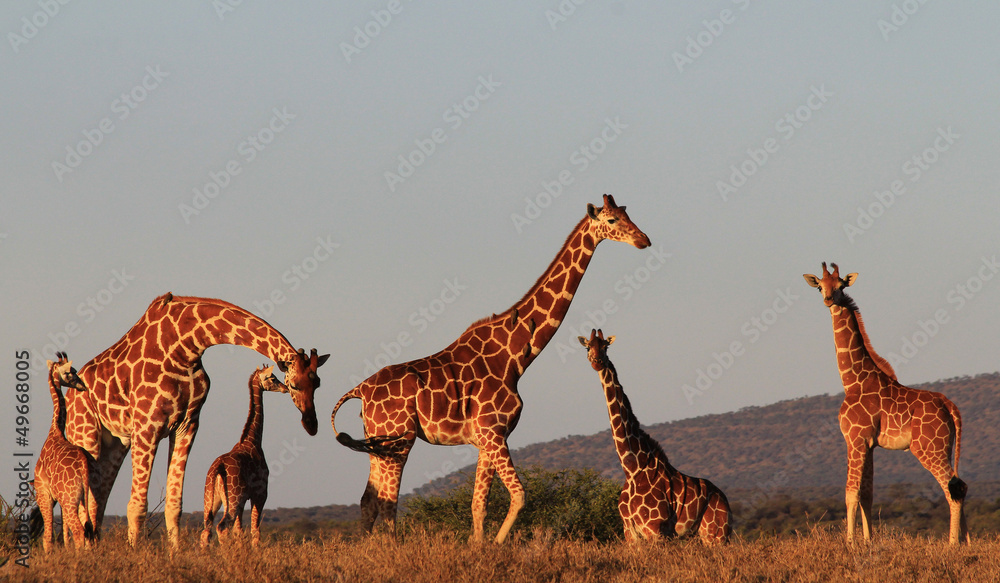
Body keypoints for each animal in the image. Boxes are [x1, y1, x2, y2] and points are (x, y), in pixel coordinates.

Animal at [35, 352, 98, 551]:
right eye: (71, 372)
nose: (83, 386)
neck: (55, 431)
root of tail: (84, 466)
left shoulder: (44, 493)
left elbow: (48, 536)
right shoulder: (59, 499)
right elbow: (64, 534)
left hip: (69, 499)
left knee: (79, 530)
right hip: (87, 496)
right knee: (90, 529)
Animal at [200, 366, 286, 548]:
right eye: (273, 378)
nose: (285, 388)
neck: (252, 440)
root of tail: (218, 467)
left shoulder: (243, 500)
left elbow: (239, 532)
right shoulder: (260, 493)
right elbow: (255, 531)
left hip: (212, 497)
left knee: (206, 530)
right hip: (233, 498)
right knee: (221, 527)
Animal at [331, 195, 651, 543]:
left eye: (627, 214)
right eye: (611, 220)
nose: (644, 240)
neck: (515, 358)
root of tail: (360, 390)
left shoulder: (486, 439)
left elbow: (478, 503)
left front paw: (478, 545)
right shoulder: (494, 432)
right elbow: (519, 495)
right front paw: (496, 545)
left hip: (378, 443)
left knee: (368, 500)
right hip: (398, 440)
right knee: (387, 502)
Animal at [578, 330, 731, 543]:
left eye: (605, 347)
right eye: (587, 347)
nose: (597, 362)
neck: (632, 469)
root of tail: (725, 500)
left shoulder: (654, 529)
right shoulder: (630, 533)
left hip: (716, 534)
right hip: (699, 535)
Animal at [804, 262, 968, 545]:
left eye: (840, 286)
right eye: (820, 287)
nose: (828, 300)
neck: (852, 381)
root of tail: (949, 406)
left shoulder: (854, 439)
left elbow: (850, 493)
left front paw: (850, 543)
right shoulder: (870, 444)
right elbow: (867, 496)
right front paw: (868, 541)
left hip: (928, 448)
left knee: (951, 490)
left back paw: (951, 545)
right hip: (945, 447)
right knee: (962, 485)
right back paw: (968, 541)